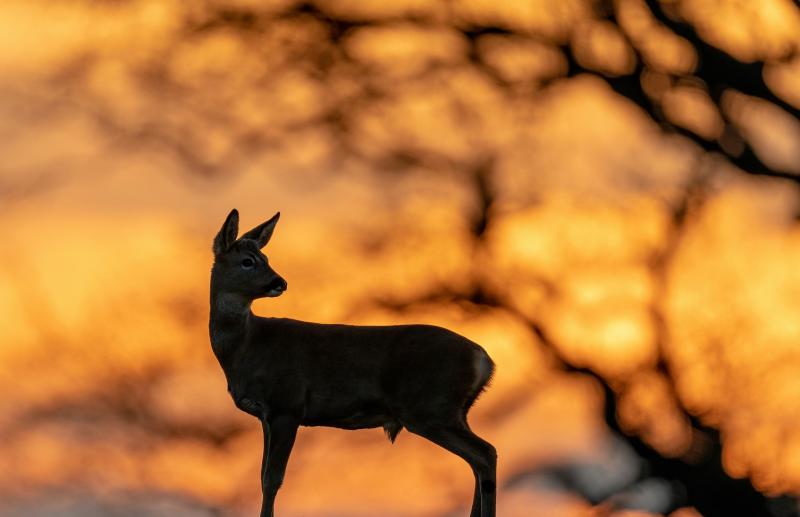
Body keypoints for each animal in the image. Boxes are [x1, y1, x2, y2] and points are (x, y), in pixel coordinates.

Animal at [211, 208, 500, 512]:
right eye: (248, 261)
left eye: (264, 259)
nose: (280, 282)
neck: (248, 345)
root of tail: (484, 360)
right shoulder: (266, 416)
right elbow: (263, 477)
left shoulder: (287, 405)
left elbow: (272, 480)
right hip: (453, 412)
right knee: (477, 462)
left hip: (431, 408)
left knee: (485, 453)